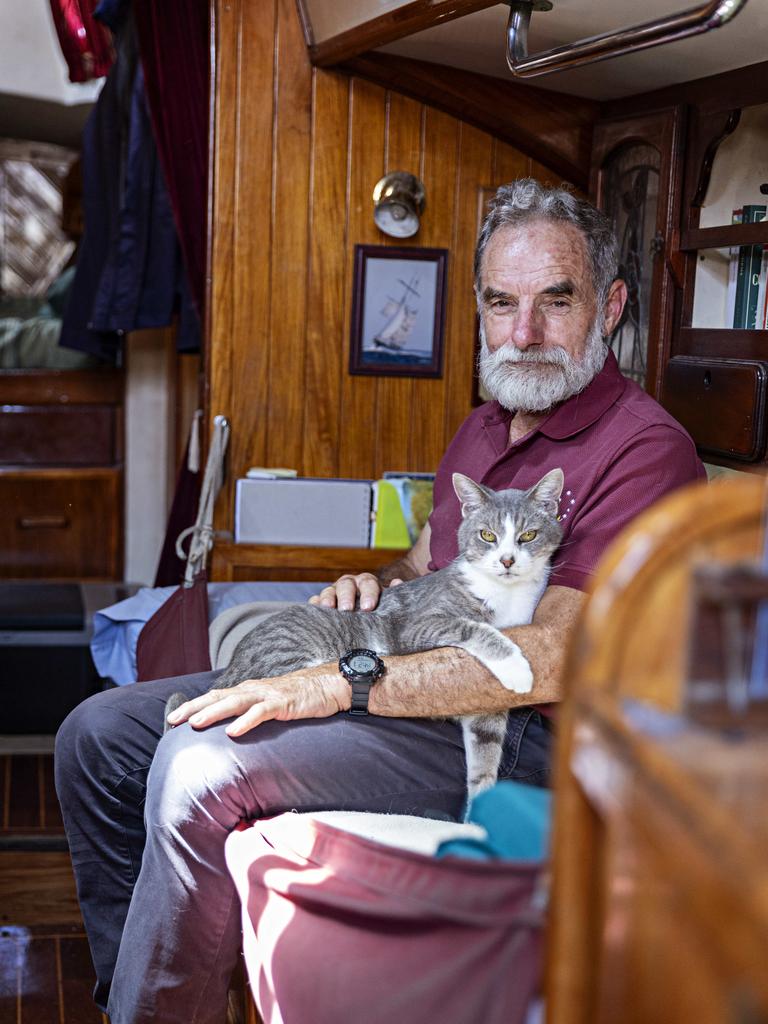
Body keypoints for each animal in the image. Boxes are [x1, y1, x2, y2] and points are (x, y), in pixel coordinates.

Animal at [166, 468, 565, 811]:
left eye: (528, 535)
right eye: (488, 535)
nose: (508, 560)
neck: (506, 595)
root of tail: (232, 666)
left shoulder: (487, 708)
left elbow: (485, 760)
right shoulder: (419, 625)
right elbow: (476, 628)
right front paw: (516, 667)